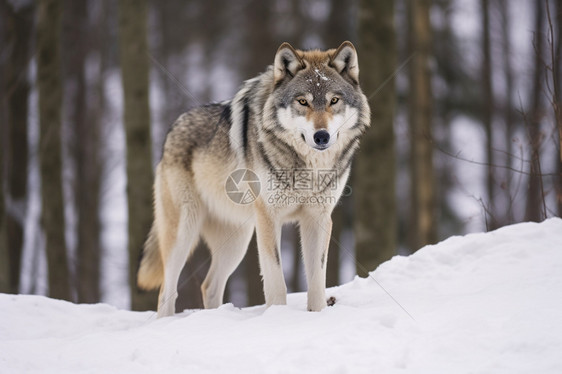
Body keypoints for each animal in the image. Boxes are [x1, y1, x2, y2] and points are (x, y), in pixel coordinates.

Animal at [138, 40, 370, 316]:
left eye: (334, 100)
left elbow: (316, 283)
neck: (308, 169)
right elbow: (276, 282)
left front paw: (317, 315)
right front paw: (278, 316)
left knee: (209, 285)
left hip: (237, 240)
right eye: (303, 101)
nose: (321, 136)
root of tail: (172, 128)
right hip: (185, 231)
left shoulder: (318, 218)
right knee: (166, 290)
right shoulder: (268, 218)